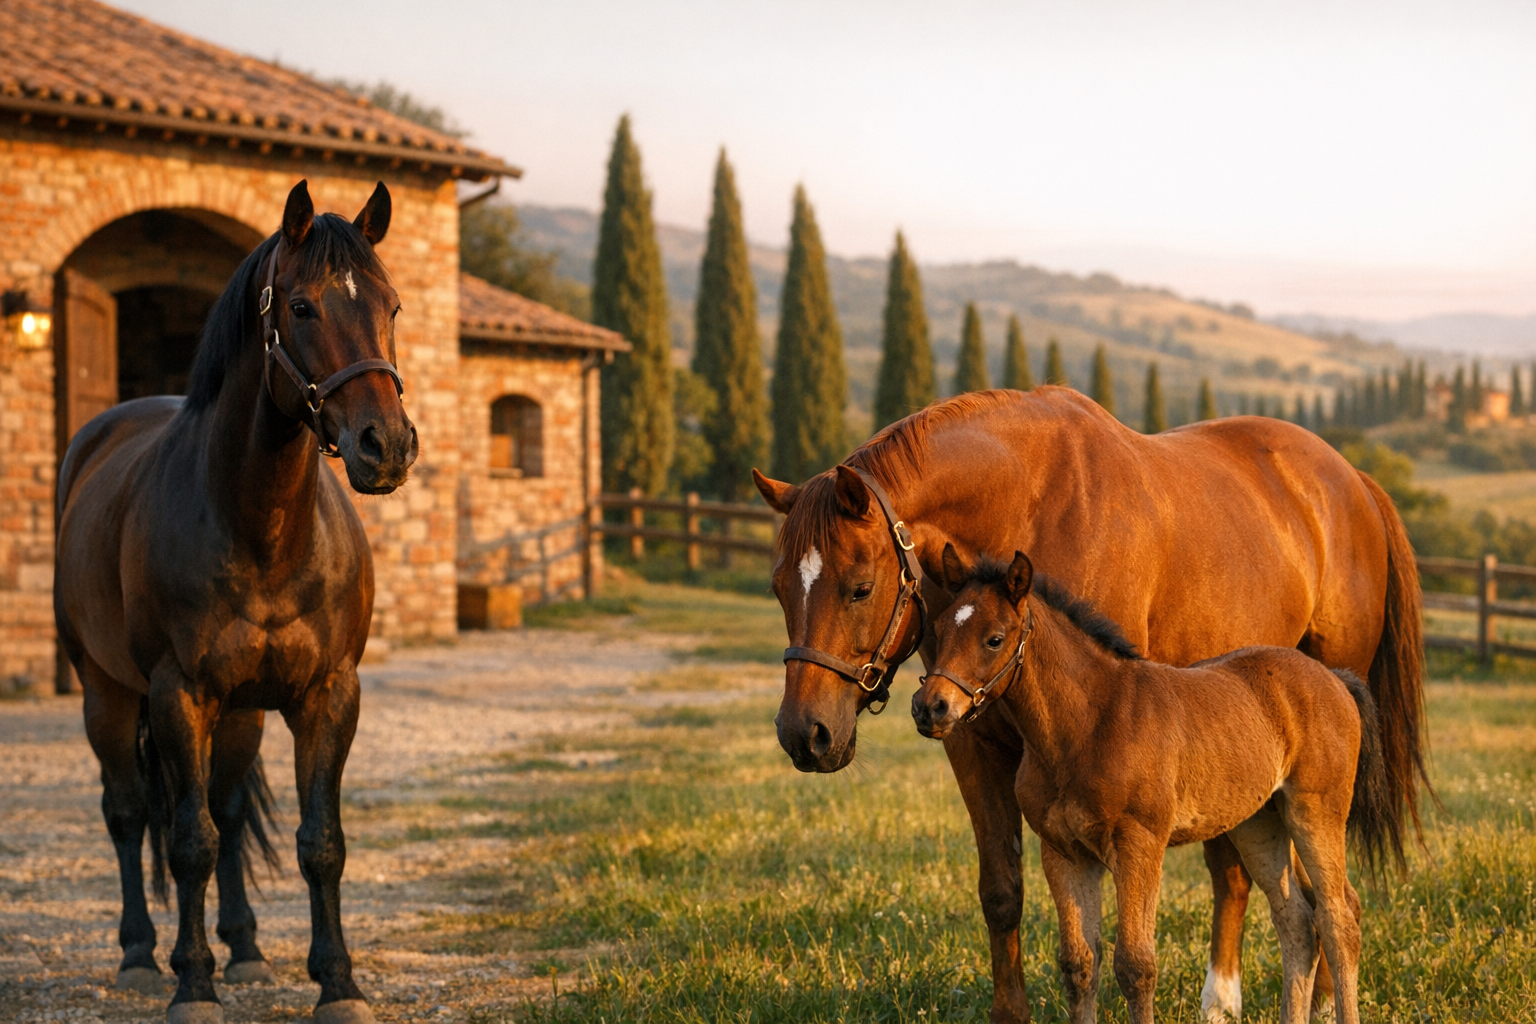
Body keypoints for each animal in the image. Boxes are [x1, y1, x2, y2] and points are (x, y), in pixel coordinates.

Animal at [54, 179, 415, 1024]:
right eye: (304, 307)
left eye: (391, 305)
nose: (386, 446)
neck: (262, 530)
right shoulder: (177, 695)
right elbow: (188, 843)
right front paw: (193, 986)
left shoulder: (327, 695)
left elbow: (320, 842)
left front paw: (338, 984)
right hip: (105, 692)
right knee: (129, 812)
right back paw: (139, 957)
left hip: (244, 712)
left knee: (227, 806)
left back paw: (247, 948)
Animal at [912, 546, 1399, 1024]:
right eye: (938, 628)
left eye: (994, 638)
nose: (929, 707)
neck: (1088, 726)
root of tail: (1335, 678)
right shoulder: (1064, 854)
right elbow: (1078, 965)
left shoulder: (1139, 845)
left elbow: (1135, 965)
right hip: (1259, 823)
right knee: (1297, 922)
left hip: (1315, 811)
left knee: (1338, 919)